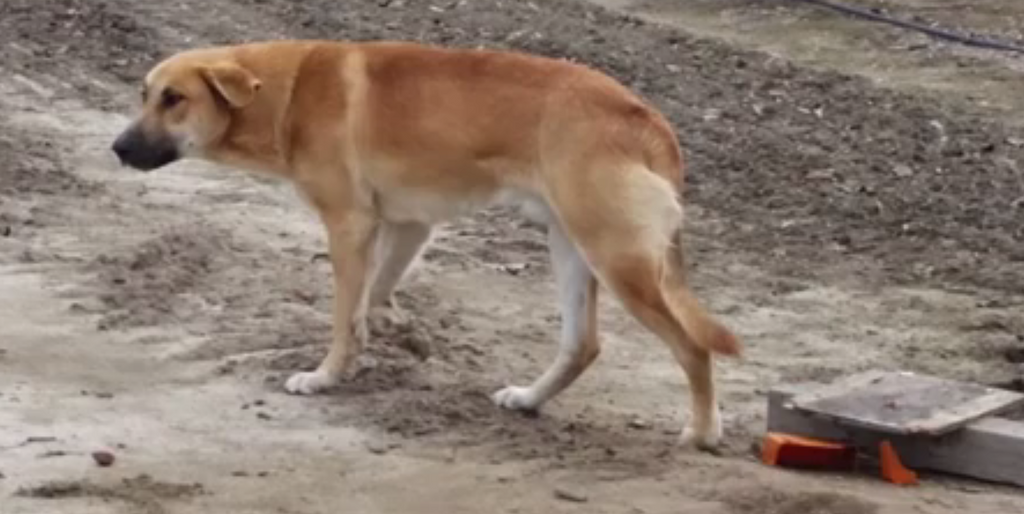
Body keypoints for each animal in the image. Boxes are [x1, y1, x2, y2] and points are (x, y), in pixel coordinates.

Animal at [112, 40, 741, 448]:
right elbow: (373, 298)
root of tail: (647, 118)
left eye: (174, 99)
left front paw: (325, 376)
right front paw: (395, 333)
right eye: (144, 94)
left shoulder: (349, 225)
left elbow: (343, 316)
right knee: (581, 345)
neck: (287, 92)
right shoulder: (406, 225)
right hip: (572, 248)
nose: (117, 148)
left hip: (616, 260)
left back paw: (703, 431)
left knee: (692, 347)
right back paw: (529, 400)